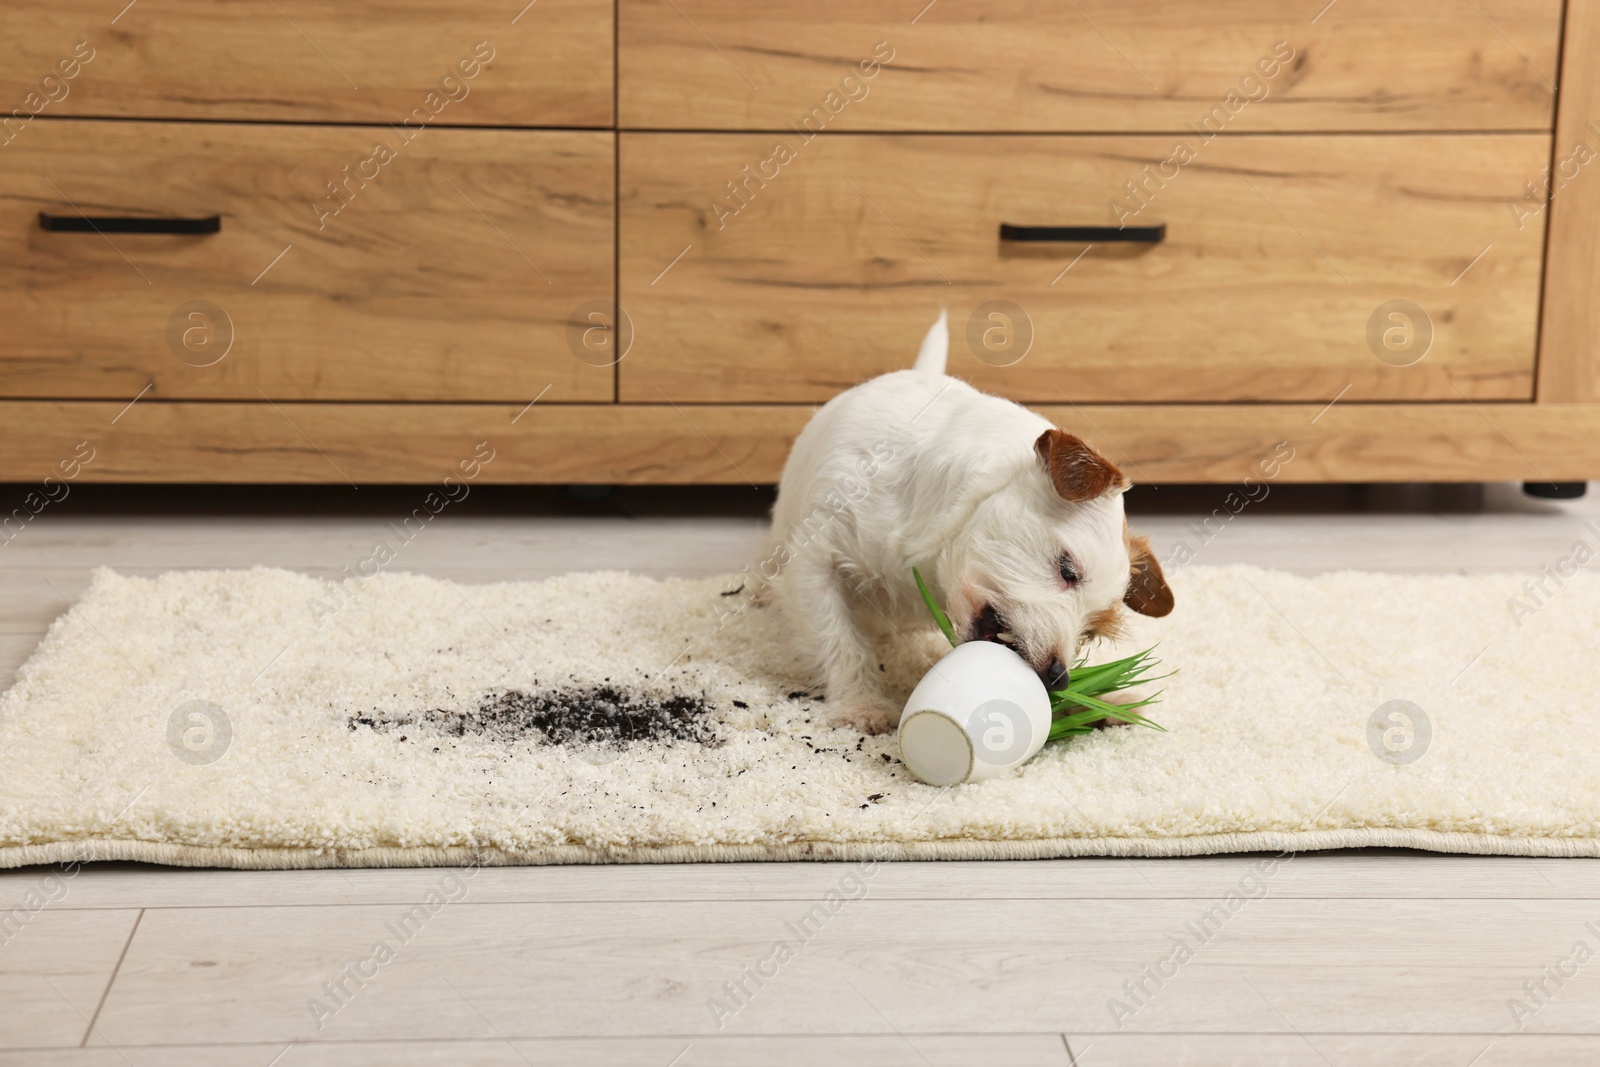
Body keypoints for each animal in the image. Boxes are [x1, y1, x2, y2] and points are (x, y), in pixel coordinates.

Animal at [761, 308, 1177, 735]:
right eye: (1068, 570)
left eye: (1091, 633)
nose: (1058, 678)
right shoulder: (815, 562)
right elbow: (840, 640)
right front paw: (861, 703)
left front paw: (1104, 702)